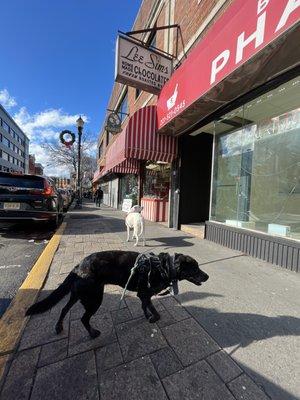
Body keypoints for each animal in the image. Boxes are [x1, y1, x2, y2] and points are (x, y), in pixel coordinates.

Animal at [25, 252, 209, 340]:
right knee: (84, 318)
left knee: (63, 309)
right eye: (195, 268)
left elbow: (145, 306)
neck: (164, 267)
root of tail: (78, 266)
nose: (207, 276)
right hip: (95, 299)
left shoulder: (143, 295)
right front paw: (153, 318)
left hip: (77, 295)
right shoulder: (145, 293)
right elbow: (155, 311)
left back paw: (59, 327)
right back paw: (93, 333)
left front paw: (147, 316)